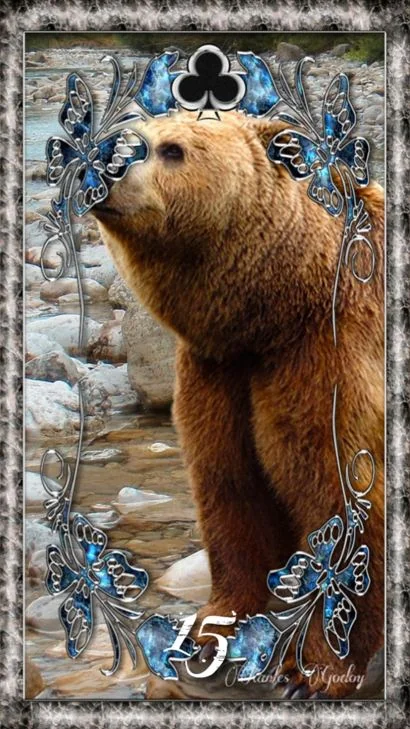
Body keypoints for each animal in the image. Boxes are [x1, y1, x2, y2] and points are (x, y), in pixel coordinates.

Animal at [93, 111, 384, 699]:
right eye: (122, 135)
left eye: (172, 149)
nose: (105, 166)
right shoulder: (220, 373)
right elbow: (230, 486)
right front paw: (210, 628)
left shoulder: (327, 356)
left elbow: (344, 497)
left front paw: (313, 671)